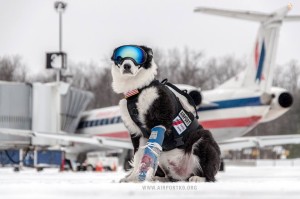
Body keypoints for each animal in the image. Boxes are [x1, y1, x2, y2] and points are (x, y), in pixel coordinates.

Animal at [110, 44, 220, 182]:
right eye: (120, 57)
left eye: (139, 56)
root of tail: (183, 173)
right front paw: (132, 178)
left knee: (210, 176)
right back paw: (158, 178)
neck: (138, 91)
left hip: (203, 139)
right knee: (169, 176)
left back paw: (198, 178)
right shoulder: (137, 133)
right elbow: (138, 156)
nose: (127, 66)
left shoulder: (159, 121)